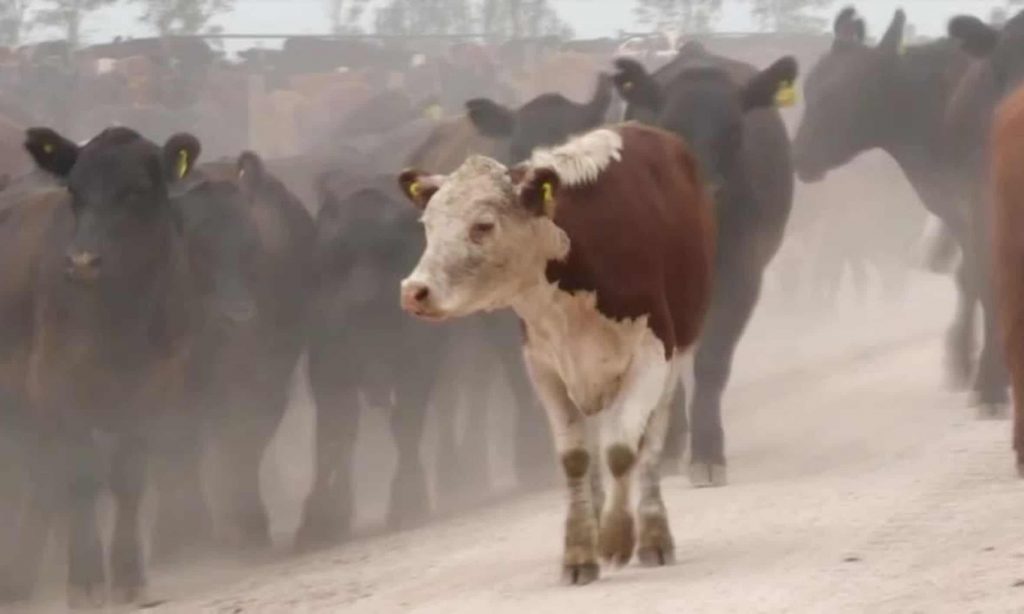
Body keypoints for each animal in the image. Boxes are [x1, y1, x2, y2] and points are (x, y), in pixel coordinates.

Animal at [397, 121, 712, 585]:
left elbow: (622, 450)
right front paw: (581, 550)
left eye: (483, 225)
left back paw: (652, 535)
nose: (414, 291)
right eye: (428, 224)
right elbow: (576, 458)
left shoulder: (654, 353)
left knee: (650, 441)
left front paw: (616, 537)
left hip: (678, 352)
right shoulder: (544, 366)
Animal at [614, 45, 798, 485]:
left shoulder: (743, 272)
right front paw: (666, 449)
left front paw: (709, 452)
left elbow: (712, 361)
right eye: (670, 128)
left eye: (734, 131)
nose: (703, 192)